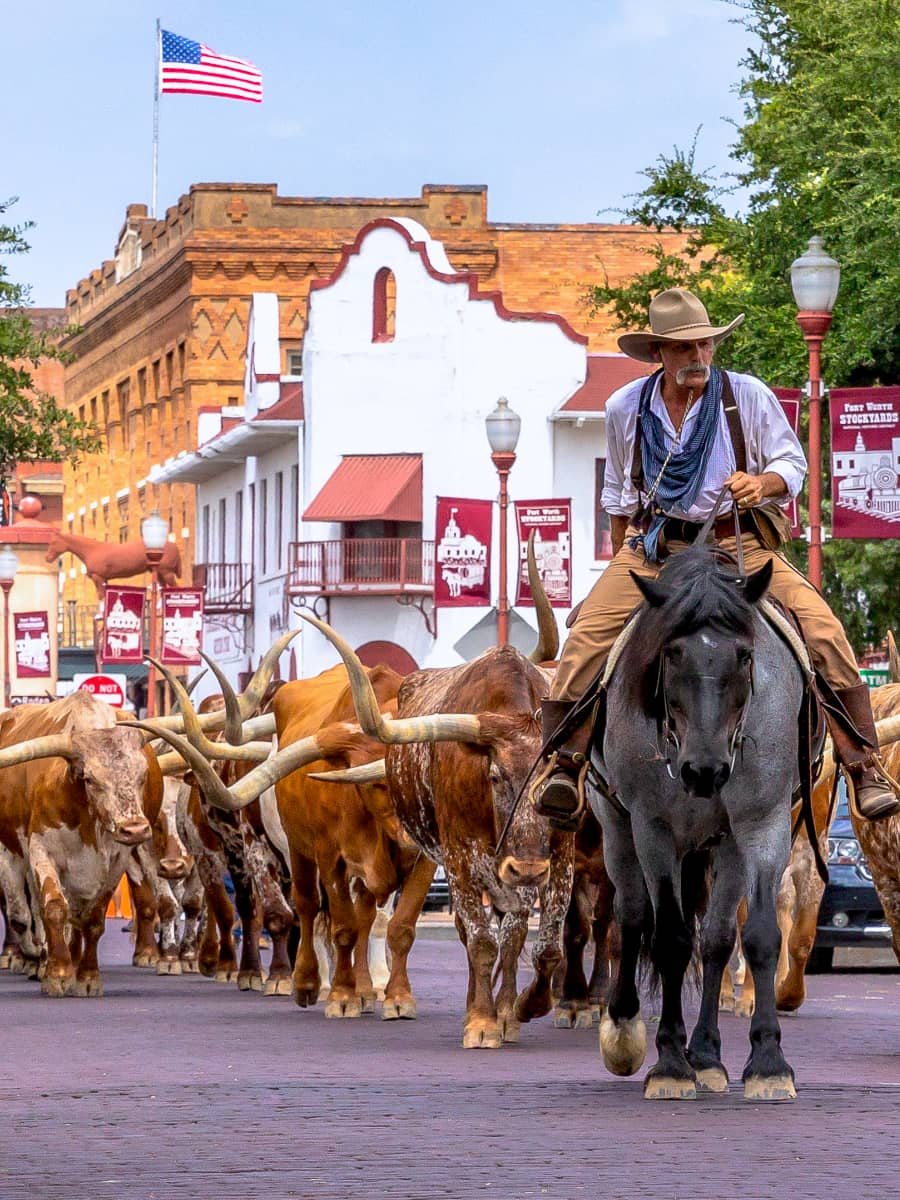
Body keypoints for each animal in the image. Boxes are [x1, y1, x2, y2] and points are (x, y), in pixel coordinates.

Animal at [592, 544, 801, 1099]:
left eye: (745, 655)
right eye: (671, 653)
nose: (704, 770)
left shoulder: (762, 821)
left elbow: (757, 936)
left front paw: (767, 1061)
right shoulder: (653, 827)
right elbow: (668, 937)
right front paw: (668, 1062)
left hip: (722, 844)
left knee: (716, 937)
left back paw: (706, 1055)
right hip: (616, 826)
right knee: (632, 914)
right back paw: (623, 1028)